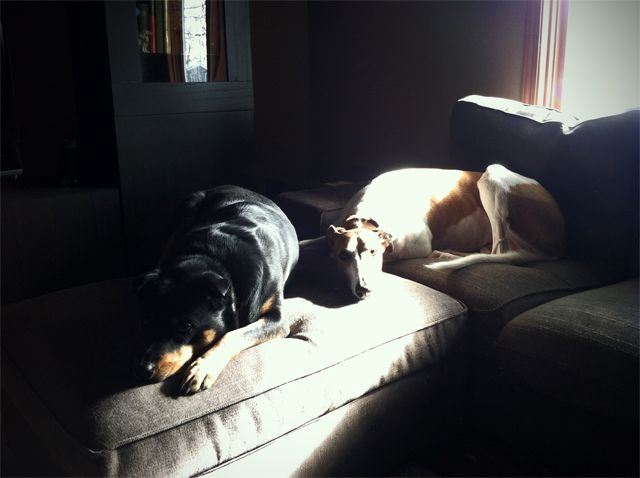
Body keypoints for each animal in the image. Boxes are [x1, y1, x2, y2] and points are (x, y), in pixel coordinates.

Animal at [135, 185, 300, 394]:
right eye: (146, 321)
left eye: (185, 327)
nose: (142, 370)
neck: (213, 260)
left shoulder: (277, 319)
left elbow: (234, 334)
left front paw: (202, 368)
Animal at [324, 164, 564, 298]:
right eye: (343, 256)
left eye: (373, 252)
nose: (363, 290)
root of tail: (558, 244)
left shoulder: (419, 244)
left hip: (493, 174)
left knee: (499, 251)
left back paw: (448, 255)